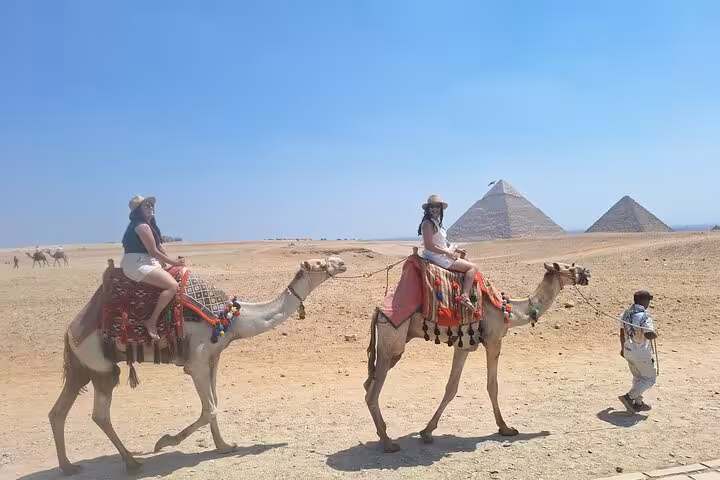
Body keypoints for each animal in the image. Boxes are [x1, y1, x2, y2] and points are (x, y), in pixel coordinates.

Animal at [49, 256, 347, 475]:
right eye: (319, 263)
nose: (341, 262)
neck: (233, 319)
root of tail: (70, 329)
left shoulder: (213, 358)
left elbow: (214, 404)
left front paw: (224, 446)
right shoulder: (197, 361)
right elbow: (209, 409)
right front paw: (165, 441)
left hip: (82, 367)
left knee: (58, 411)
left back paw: (68, 466)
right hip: (99, 364)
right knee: (100, 414)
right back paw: (132, 462)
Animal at [363, 260, 591, 452]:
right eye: (569, 267)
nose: (587, 272)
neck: (509, 311)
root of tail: (377, 311)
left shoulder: (463, 346)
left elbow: (451, 388)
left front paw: (427, 432)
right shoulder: (494, 340)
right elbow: (492, 386)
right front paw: (506, 429)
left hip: (393, 349)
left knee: (368, 385)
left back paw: (384, 435)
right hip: (391, 343)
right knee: (372, 393)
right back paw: (388, 443)